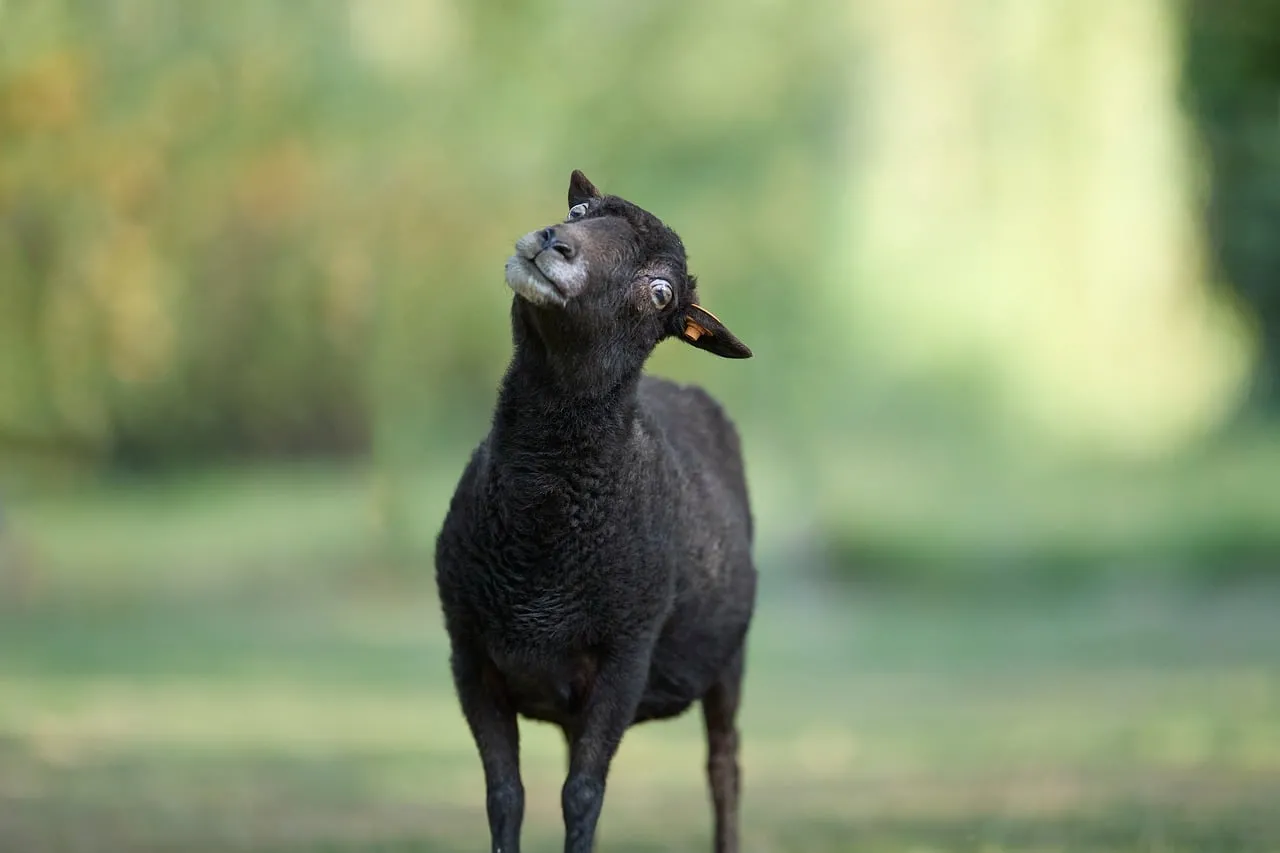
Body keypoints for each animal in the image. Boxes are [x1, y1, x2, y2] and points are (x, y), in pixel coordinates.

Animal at [434, 170, 757, 853]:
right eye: (581, 209)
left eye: (661, 293)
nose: (553, 241)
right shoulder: (469, 653)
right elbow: (506, 796)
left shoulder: (626, 655)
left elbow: (582, 794)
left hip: (729, 660)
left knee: (724, 767)